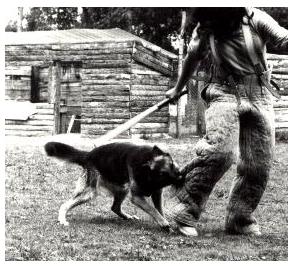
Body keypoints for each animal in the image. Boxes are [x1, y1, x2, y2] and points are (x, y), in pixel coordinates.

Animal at [44, 141, 183, 231]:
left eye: (172, 165)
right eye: (162, 173)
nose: (180, 177)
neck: (146, 166)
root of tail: (89, 154)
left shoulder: (157, 193)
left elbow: (159, 210)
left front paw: (163, 222)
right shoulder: (137, 197)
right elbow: (152, 209)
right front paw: (164, 223)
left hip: (122, 188)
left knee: (115, 207)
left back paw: (127, 217)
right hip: (90, 193)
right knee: (64, 205)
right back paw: (62, 219)